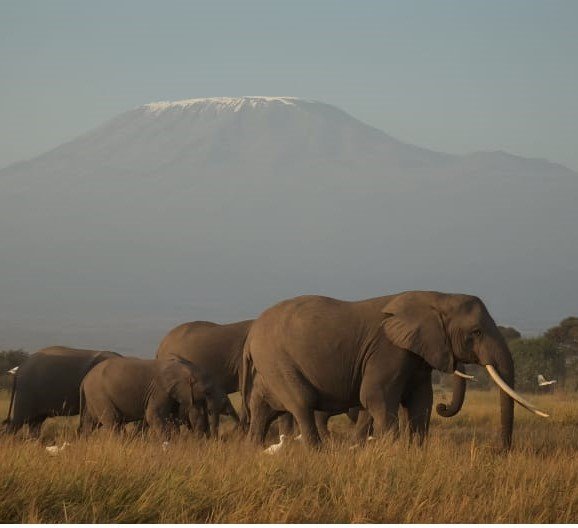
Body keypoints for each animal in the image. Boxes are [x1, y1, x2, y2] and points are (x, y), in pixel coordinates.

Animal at [79, 356, 236, 440]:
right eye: (207, 392)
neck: (183, 369)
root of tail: (85, 379)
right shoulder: (160, 390)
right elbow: (154, 416)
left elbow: (177, 417)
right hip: (100, 395)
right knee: (113, 421)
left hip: (93, 399)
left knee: (90, 422)